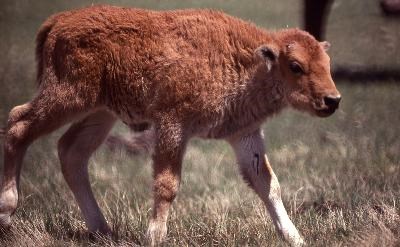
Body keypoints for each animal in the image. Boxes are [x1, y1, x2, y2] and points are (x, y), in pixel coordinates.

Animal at [0, 4, 340, 246]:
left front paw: (296, 238)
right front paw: (154, 236)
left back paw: (102, 229)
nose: (332, 100)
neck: (251, 61)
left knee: (71, 152)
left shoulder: (244, 133)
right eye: (295, 66)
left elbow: (268, 184)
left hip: (100, 113)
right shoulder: (173, 125)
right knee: (18, 124)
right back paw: (6, 212)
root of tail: (59, 20)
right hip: (68, 98)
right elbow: (167, 184)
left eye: (327, 64)